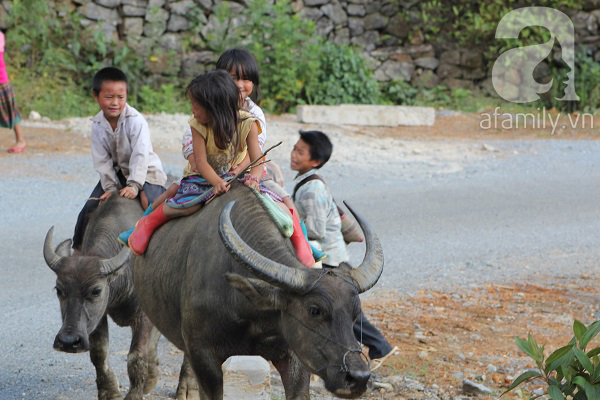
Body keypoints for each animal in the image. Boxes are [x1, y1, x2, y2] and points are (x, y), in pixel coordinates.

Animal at [43, 196, 161, 400]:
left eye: (96, 291)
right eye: (58, 289)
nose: (68, 341)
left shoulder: (143, 317)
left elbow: (136, 357)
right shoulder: (98, 317)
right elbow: (99, 353)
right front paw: (109, 392)